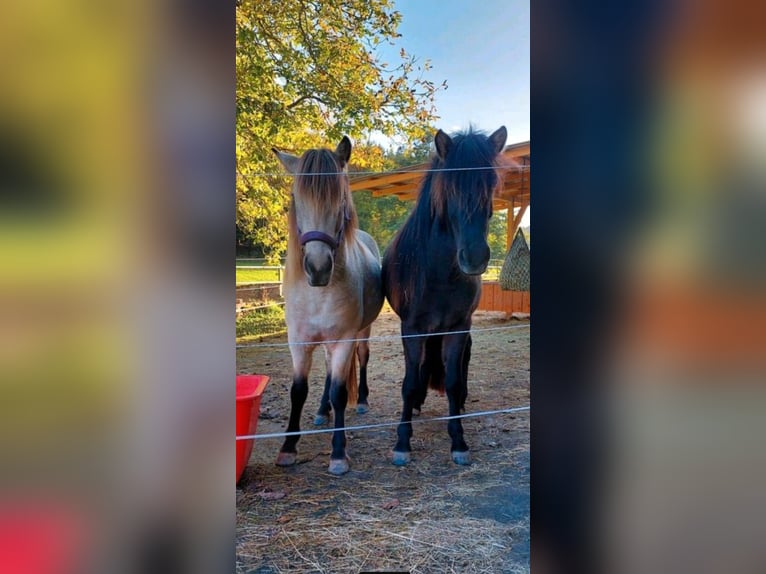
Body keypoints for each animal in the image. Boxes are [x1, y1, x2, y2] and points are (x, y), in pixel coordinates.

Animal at [272, 136, 384, 475]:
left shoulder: (344, 339)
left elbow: (339, 391)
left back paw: (361, 401)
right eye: (296, 198)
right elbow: (298, 391)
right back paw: (323, 410)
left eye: (340, 198)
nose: (318, 268)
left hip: (362, 331)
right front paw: (288, 448)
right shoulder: (298, 341)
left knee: (362, 359)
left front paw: (338, 453)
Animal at [382, 126, 507, 466]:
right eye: (450, 187)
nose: (475, 258)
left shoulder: (458, 326)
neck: (438, 271)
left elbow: (451, 381)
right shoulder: (412, 328)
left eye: (491, 183)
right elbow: (410, 382)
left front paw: (459, 441)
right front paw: (402, 443)